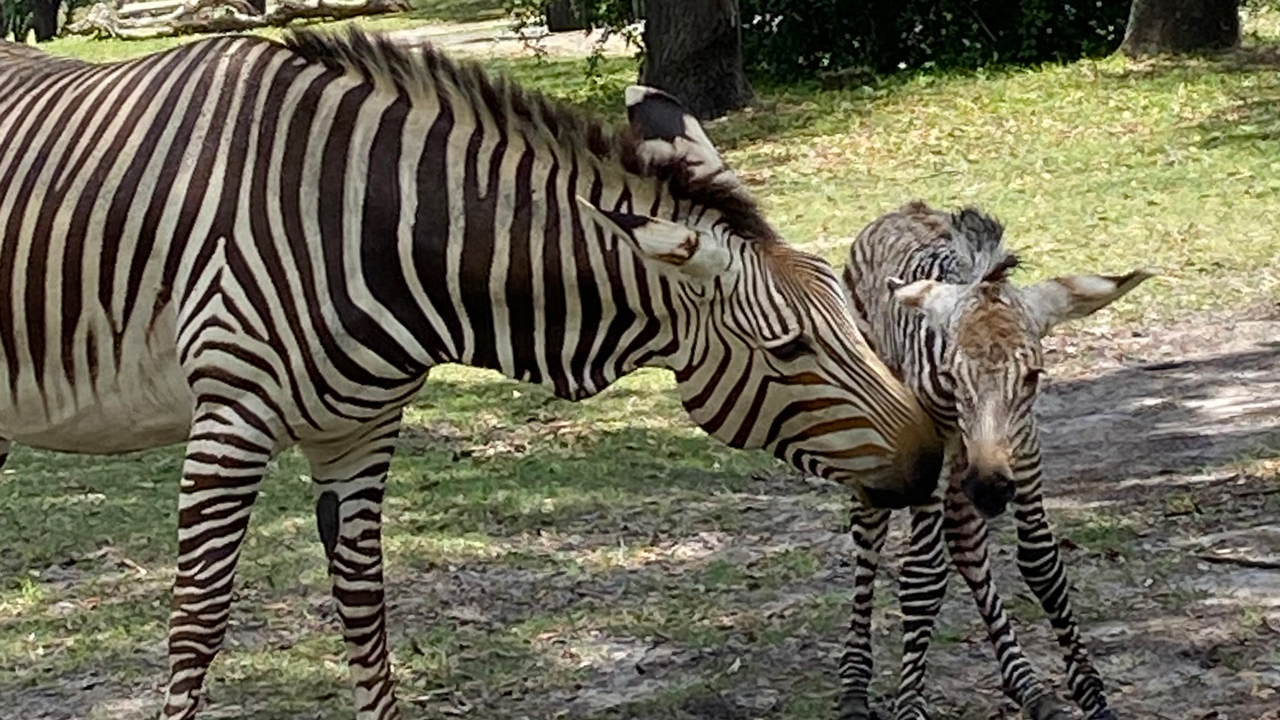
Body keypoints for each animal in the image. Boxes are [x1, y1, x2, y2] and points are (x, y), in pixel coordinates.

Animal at [0, 29, 946, 720]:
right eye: (789, 351)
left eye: (854, 318)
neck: (374, 223)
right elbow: (198, 623)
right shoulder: (230, 420)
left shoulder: (361, 429)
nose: (935, 458)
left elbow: (365, 610)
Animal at [834, 200, 1152, 720]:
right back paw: (854, 688)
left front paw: (1091, 694)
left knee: (965, 543)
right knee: (869, 536)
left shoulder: (1023, 447)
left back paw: (1029, 686)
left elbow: (1042, 563)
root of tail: (899, 211)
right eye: (950, 374)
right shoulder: (939, 451)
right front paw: (909, 704)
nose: (988, 487)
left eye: (1033, 375)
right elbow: (923, 577)